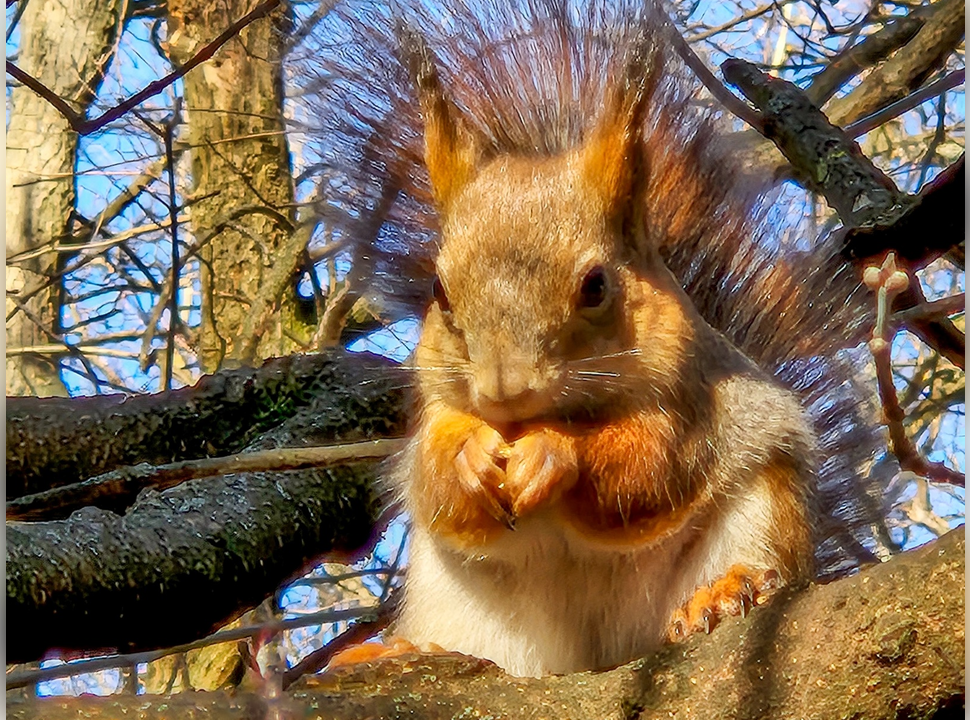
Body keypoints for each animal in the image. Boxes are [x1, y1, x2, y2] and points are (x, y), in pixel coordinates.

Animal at [304, 0, 892, 676]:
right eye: (440, 292)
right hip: (467, 607)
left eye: (595, 286)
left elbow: (645, 466)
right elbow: (434, 479)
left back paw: (722, 595)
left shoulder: (688, 405)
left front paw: (554, 453)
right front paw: (469, 456)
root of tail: (593, 659)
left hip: (762, 512)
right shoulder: (436, 407)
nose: (504, 392)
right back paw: (403, 647)